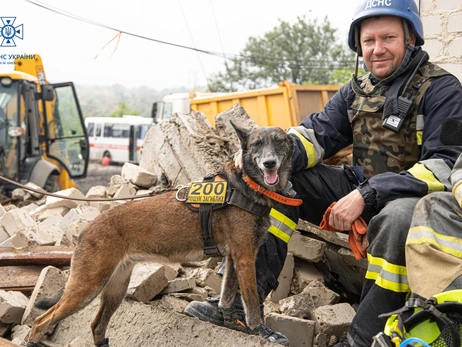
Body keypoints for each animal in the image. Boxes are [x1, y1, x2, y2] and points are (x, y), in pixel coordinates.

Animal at [27, 121, 296, 346]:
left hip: (115, 289)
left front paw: (232, 324)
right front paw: (260, 332)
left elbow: (227, 298)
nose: (269, 163)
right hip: (88, 287)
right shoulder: (245, 258)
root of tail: (87, 229)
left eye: (279, 141)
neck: (245, 184)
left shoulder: (234, 260)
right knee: (41, 322)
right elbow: (251, 303)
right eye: (257, 144)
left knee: (97, 326)